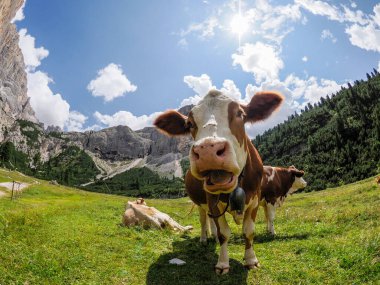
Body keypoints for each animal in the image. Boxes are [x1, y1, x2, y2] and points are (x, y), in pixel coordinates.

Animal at [154, 90, 282, 274]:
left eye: (240, 114)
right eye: (189, 123)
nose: (208, 149)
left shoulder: (255, 200)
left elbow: (248, 231)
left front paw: (251, 260)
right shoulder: (212, 201)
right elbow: (224, 233)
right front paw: (222, 263)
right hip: (200, 203)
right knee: (204, 221)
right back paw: (204, 238)